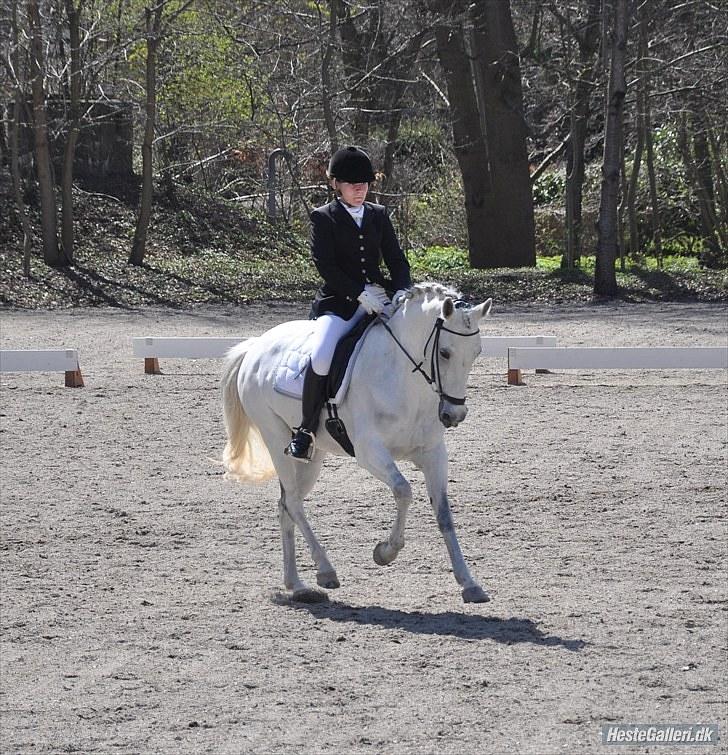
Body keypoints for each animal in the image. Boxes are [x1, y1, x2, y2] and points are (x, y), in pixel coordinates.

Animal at [220, 282, 493, 604]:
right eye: (445, 353)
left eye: (476, 353)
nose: (454, 415)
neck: (402, 376)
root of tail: (256, 345)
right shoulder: (369, 451)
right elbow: (403, 490)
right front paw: (385, 552)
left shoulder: (433, 454)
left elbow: (444, 514)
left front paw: (469, 583)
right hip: (275, 438)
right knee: (294, 503)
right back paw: (325, 571)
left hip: (313, 456)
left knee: (286, 504)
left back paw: (296, 585)